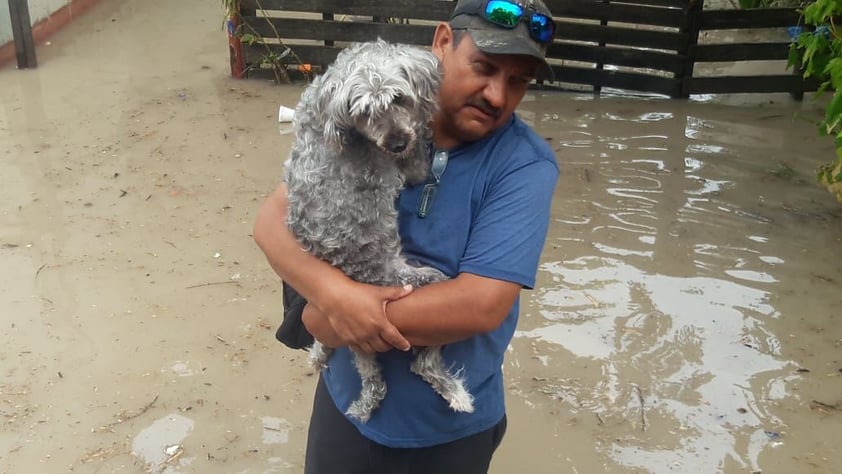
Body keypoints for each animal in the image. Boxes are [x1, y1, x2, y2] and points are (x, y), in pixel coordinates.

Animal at [284, 39, 472, 422]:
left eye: (398, 98)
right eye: (363, 113)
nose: (397, 143)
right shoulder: (410, 169)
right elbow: (418, 164)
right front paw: (425, 132)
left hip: (361, 344)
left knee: (371, 375)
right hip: (430, 287)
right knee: (422, 364)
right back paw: (456, 393)